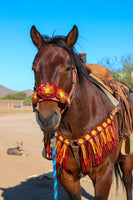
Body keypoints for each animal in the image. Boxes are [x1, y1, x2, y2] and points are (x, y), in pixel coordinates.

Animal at [30, 25, 133, 200]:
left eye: (67, 67)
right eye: (34, 69)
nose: (47, 118)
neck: (78, 125)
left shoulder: (103, 175)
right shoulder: (67, 176)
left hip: (128, 157)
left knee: (128, 184)